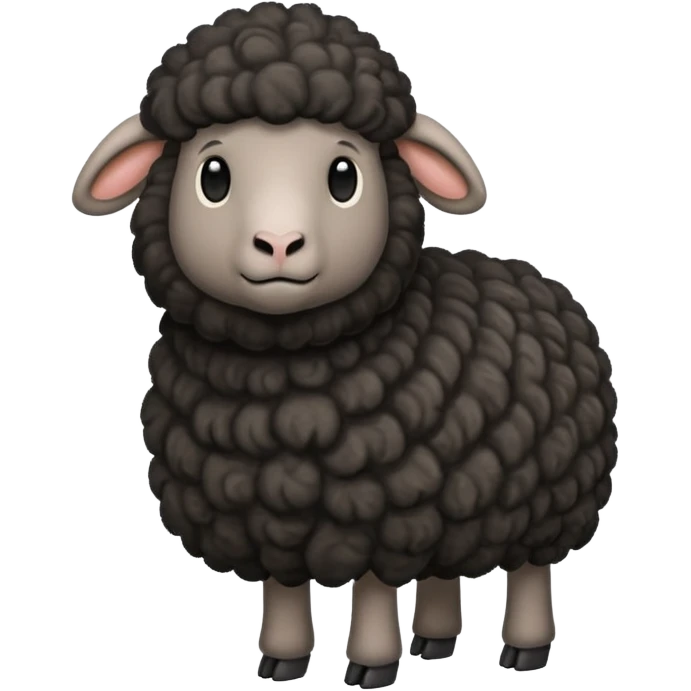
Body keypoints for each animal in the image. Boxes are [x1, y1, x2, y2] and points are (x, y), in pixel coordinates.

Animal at [71, 1, 619, 687]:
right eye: (213, 176)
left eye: (343, 176)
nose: (279, 242)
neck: (284, 378)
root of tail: (545, 282)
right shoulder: (270, 518)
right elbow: (283, 590)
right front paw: (280, 660)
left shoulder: (380, 506)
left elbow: (376, 591)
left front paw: (371, 664)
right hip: (460, 500)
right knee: (442, 570)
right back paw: (433, 641)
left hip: (551, 497)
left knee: (530, 574)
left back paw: (523, 650)